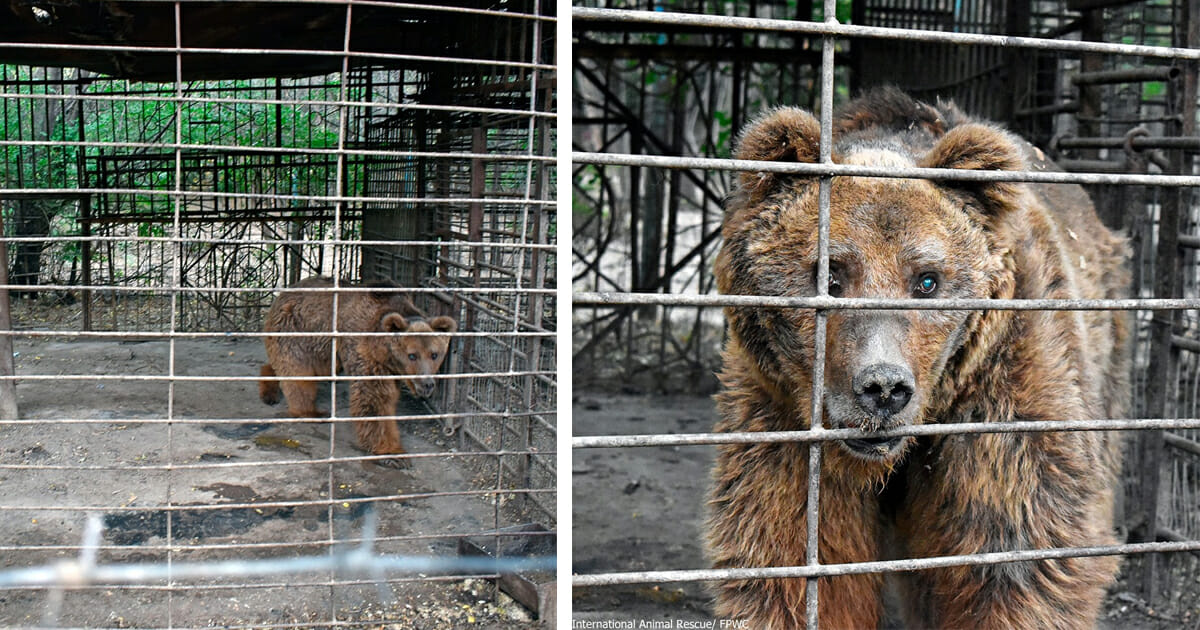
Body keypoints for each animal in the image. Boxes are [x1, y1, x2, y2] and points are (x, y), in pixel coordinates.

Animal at [259, 276, 457, 463]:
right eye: (412, 355)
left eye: (434, 354)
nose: (427, 384)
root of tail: (283, 293)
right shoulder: (364, 348)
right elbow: (374, 398)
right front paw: (392, 454)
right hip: (296, 330)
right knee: (297, 372)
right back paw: (309, 411)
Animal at [706, 88, 1130, 629]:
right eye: (830, 275)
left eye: (927, 280)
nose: (884, 388)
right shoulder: (781, 411)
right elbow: (791, 554)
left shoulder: (1004, 390)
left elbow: (1019, 555)